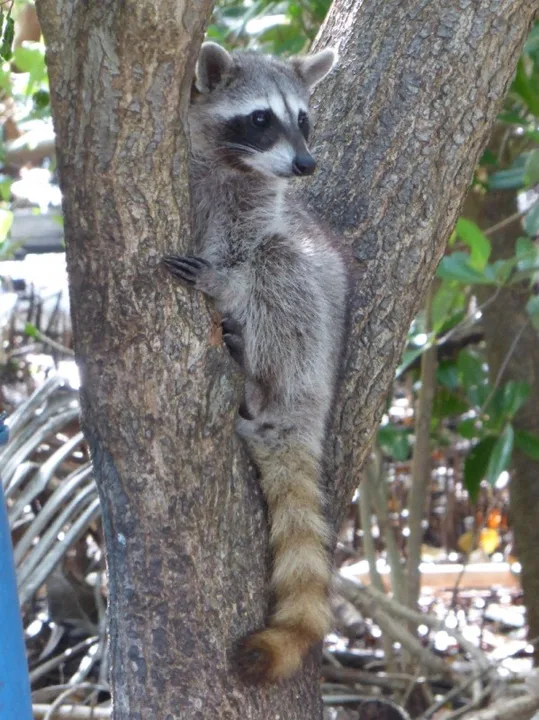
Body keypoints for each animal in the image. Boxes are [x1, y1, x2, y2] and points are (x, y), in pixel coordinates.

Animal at [164, 42, 349, 683]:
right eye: (261, 118)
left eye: (304, 118)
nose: (308, 165)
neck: (231, 164)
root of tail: (309, 407)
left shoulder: (256, 205)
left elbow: (248, 251)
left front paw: (223, 282)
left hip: (312, 348)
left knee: (283, 265)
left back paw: (253, 372)